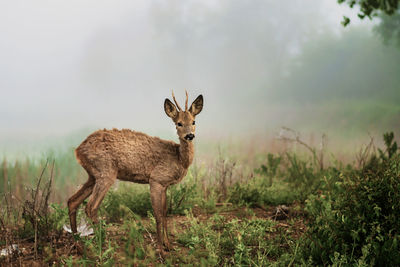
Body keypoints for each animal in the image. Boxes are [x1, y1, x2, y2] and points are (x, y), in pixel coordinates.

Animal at [67, 91, 203, 255]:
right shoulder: (156, 179)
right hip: (106, 172)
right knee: (90, 207)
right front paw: (161, 250)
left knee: (72, 201)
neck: (179, 158)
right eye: (179, 123)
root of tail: (78, 150)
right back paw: (102, 246)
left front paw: (169, 246)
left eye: (194, 121)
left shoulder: (165, 185)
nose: (190, 136)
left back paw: (80, 247)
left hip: (93, 175)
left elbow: (164, 213)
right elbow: (158, 215)